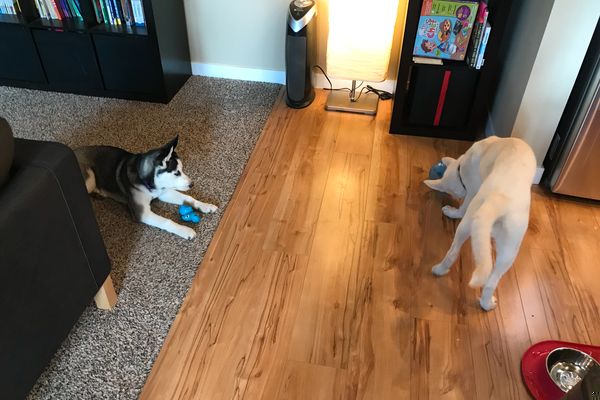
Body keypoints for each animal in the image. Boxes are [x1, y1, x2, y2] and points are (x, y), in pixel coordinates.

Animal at [75, 136, 217, 240]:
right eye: (176, 173)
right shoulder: (142, 213)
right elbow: (167, 221)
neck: (147, 182)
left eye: (182, 170)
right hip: (89, 178)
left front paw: (205, 206)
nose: (192, 184)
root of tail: (74, 150)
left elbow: (188, 197)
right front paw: (185, 230)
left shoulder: (163, 192)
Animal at [423, 136, 536, 311]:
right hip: (509, 249)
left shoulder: (471, 190)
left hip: (475, 226)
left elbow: (463, 207)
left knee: (454, 251)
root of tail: (498, 202)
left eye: (452, 192)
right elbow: (462, 207)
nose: (459, 195)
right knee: (489, 280)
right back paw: (486, 303)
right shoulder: (472, 190)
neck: (460, 168)